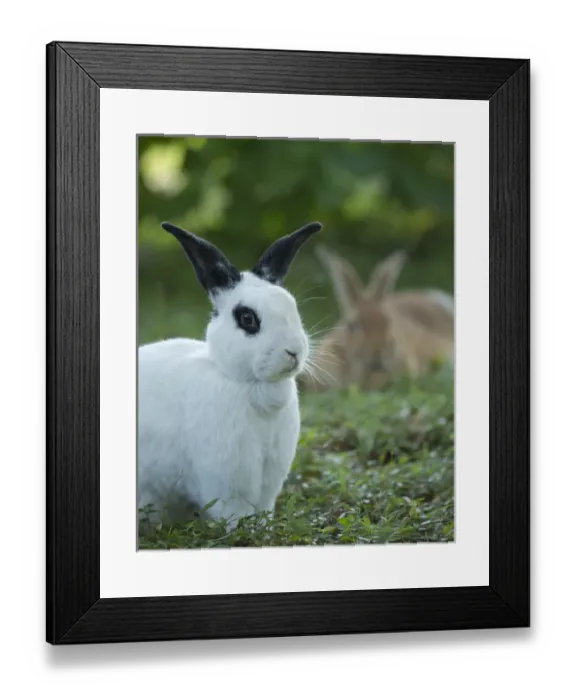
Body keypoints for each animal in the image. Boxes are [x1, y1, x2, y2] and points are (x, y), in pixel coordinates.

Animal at [137, 220, 322, 531]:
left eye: (292, 307)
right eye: (247, 318)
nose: (294, 351)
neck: (249, 385)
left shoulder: (269, 478)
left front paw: (264, 527)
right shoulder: (226, 477)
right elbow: (234, 510)